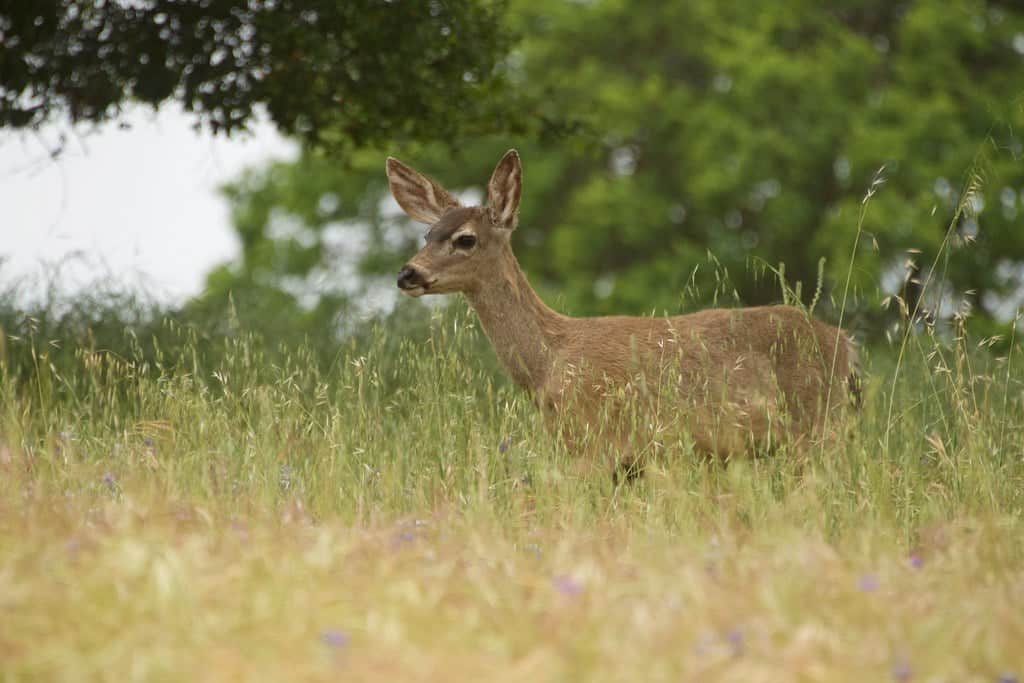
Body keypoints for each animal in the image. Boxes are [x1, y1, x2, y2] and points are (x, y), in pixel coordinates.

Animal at [387, 149, 860, 481]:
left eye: (465, 239)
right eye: (428, 235)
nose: (407, 273)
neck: (547, 364)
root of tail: (847, 345)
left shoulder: (595, 444)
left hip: (819, 428)